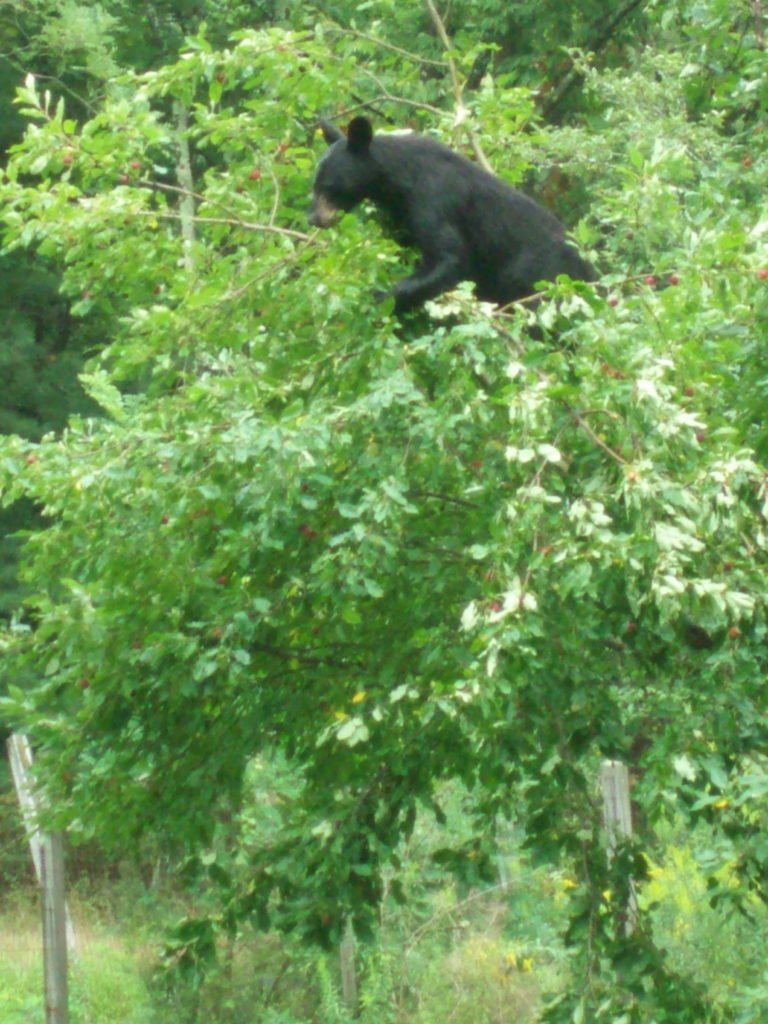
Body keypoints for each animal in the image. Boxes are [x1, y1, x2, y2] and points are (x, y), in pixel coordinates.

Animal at [311, 117, 593, 315]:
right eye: (314, 185)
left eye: (328, 187)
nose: (313, 218)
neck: (399, 183)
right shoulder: (402, 212)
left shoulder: (433, 199)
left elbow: (451, 257)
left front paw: (380, 296)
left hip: (544, 275)